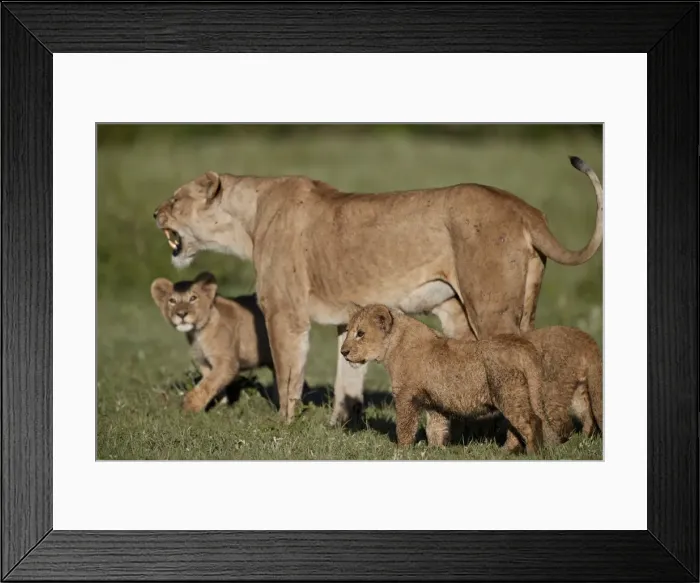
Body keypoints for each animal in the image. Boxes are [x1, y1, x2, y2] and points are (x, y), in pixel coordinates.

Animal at [150, 272, 273, 413]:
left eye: (193, 298)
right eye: (172, 301)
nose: (181, 314)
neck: (197, 332)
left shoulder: (226, 362)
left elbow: (206, 385)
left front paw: (189, 408)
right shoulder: (204, 363)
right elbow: (213, 385)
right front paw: (220, 407)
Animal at [340, 303, 545, 453]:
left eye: (360, 333)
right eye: (348, 331)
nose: (343, 352)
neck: (394, 345)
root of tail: (521, 345)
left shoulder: (406, 395)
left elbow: (405, 426)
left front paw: (402, 450)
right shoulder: (435, 403)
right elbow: (436, 429)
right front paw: (436, 451)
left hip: (509, 395)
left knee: (530, 422)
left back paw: (533, 454)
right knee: (515, 428)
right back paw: (505, 452)